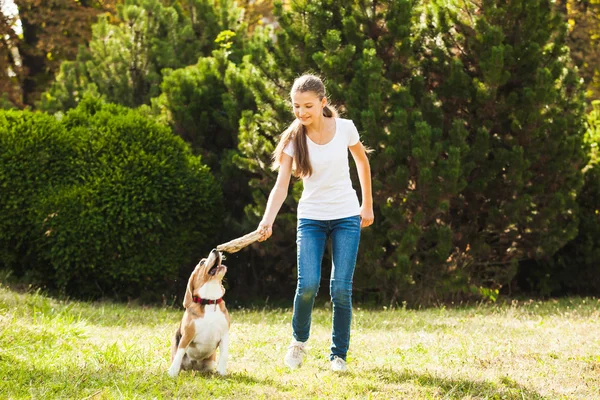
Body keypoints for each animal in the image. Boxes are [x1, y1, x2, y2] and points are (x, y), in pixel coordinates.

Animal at [168, 248, 231, 376]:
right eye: (202, 262)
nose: (215, 250)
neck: (210, 301)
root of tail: (193, 367)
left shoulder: (224, 334)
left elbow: (224, 354)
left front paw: (221, 372)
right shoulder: (187, 335)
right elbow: (180, 352)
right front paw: (172, 371)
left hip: (210, 363)